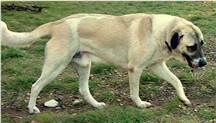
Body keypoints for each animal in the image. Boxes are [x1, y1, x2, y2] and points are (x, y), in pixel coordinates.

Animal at [0, 13, 207, 113]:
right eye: (192, 47)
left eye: (202, 44)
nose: (204, 63)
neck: (159, 32)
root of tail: (57, 24)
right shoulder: (136, 69)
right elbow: (135, 91)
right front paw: (140, 104)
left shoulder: (157, 66)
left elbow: (176, 81)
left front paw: (184, 98)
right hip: (55, 67)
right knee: (35, 86)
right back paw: (31, 109)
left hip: (84, 66)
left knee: (83, 90)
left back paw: (96, 105)